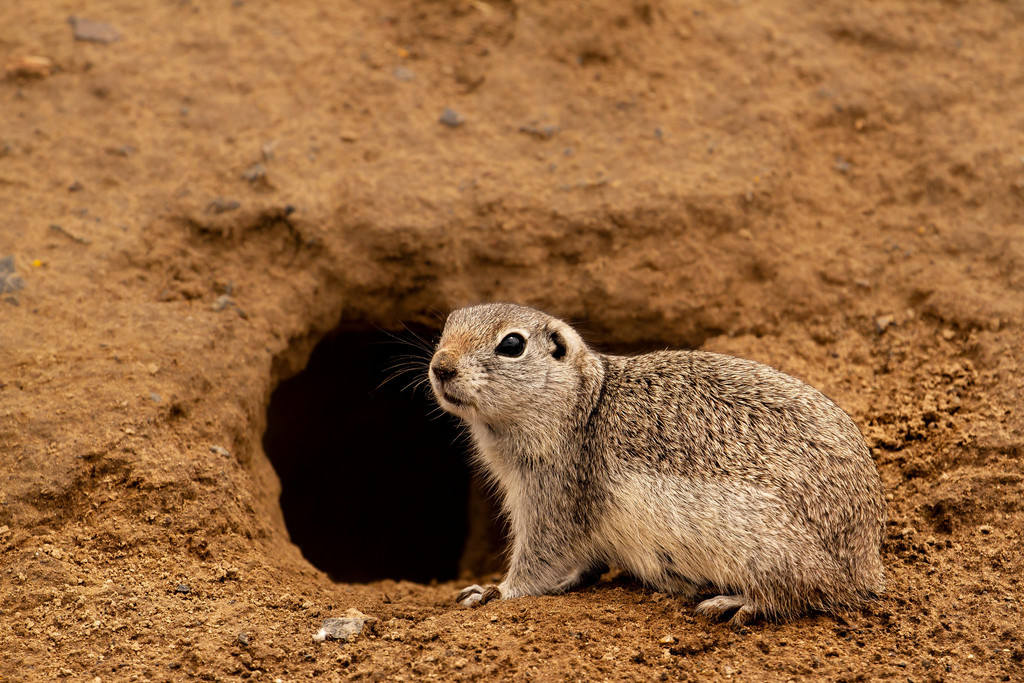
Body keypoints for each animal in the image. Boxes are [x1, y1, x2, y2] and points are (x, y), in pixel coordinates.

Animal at [428, 303, 885, 625]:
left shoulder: (553, 501)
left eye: (512, 344)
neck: (583, 405)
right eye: (447, 326)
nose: (440, 366)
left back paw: (731, 602)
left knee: (803, 593)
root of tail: (865, 564)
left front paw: (491, 592)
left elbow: (538, 563)